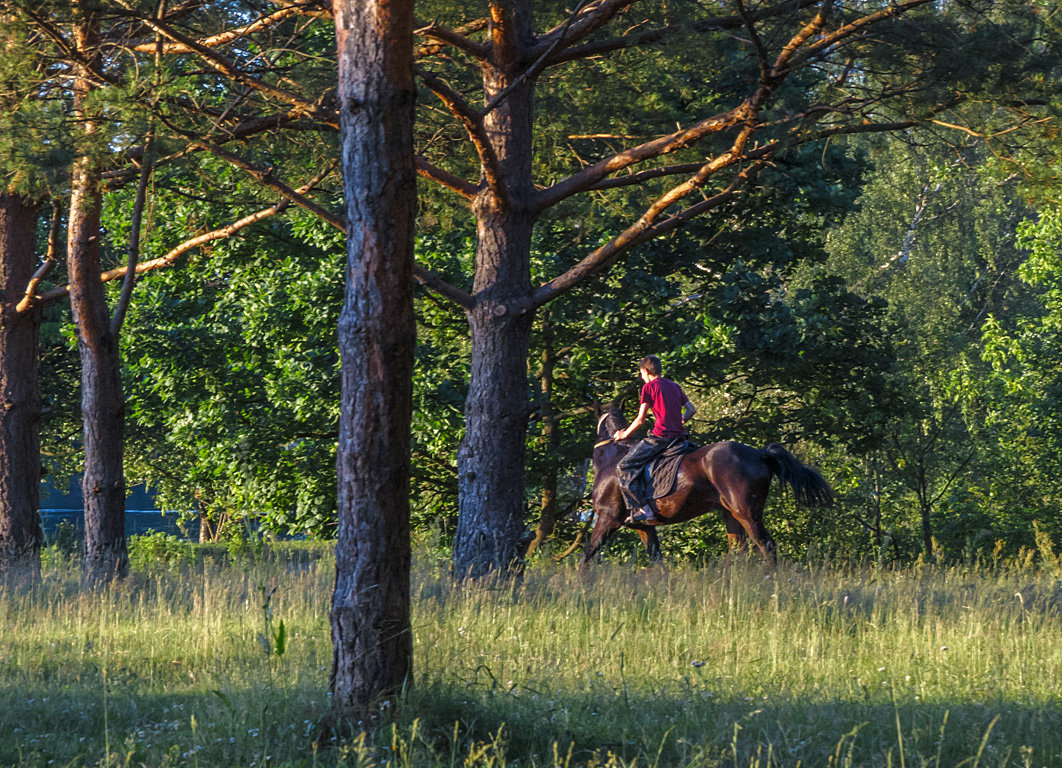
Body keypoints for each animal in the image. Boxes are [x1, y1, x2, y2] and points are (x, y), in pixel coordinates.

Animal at [586, 407, 832, 565]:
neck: (613, 458)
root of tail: (760, 454)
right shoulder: (645, 528)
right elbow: (657, 562)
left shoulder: (608, 518)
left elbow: (587, 554)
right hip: (731, 514)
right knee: (739, 551)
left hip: (747, 513)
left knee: (766, 546)